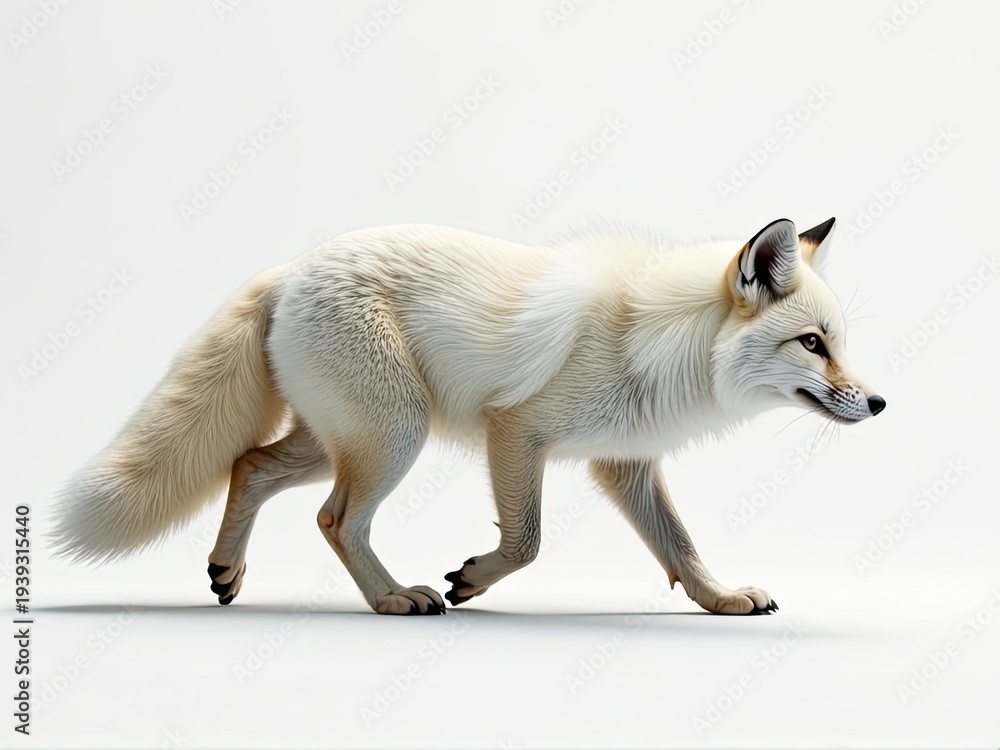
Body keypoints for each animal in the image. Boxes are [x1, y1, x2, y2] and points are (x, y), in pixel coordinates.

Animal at [51, 216, 885, 616]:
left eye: (839, 343)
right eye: (813, 344)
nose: (879, 403)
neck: (653, 338)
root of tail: (292, 270)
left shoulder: (622, 462)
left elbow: (680, 547)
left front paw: (720, 601)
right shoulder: (514, 430)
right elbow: (527, 542)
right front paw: (473, 580)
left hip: (343, 440)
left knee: (247, 463)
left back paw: (228, 571)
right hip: (395, 436)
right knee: (333, 518)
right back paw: (392, 599)